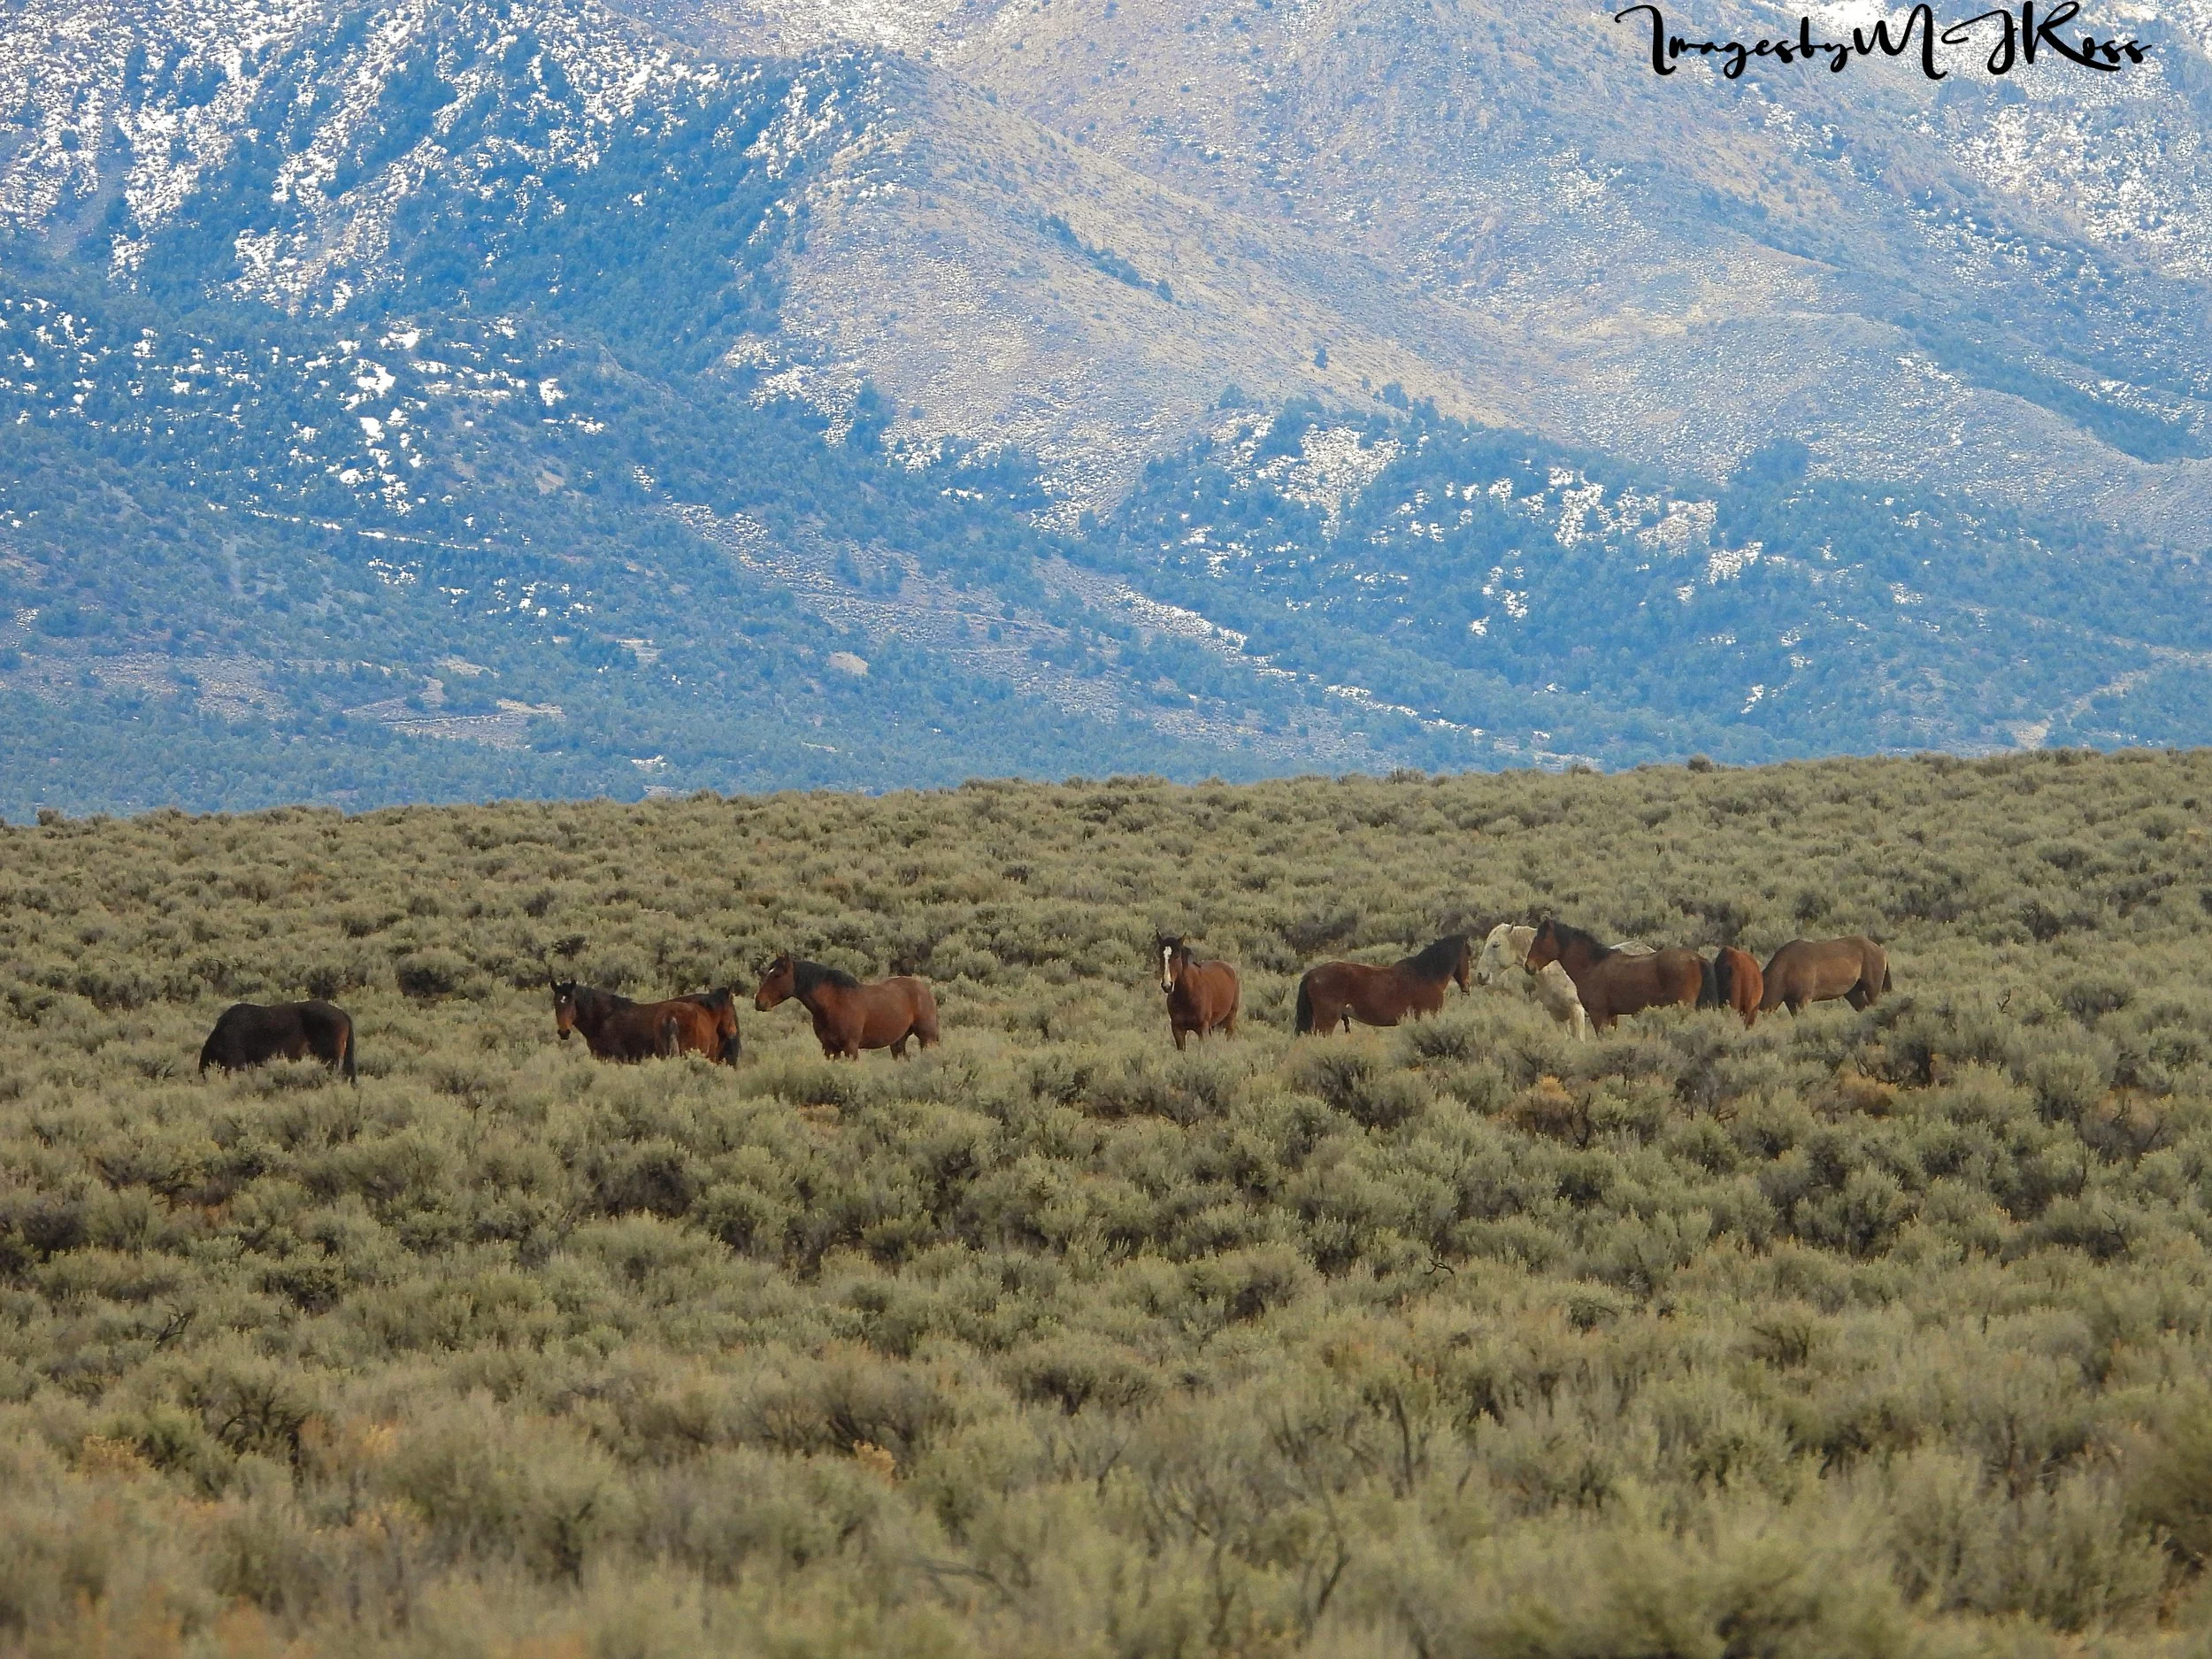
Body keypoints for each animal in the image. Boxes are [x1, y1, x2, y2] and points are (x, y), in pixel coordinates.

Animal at [754, 954, 939, 1059]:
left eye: (777, 975)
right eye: (766, 972)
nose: (759, 1002)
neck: (832, 1003)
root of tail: (923, 988)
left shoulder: (851, 1048)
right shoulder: (829, 1048)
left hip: (927, 1038)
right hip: (898, 1041)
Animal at [1156, 934, 1240, 1050]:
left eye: (1177, 956)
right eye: (1161, 956)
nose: (1167, 985)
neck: (1187, 995)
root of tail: (1229, 968)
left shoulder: (1202, 1029)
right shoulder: (1178, 1029)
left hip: (1229, 1019)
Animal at [1523, 919, 1710, 1033]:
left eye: (1540, 939)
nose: (1528, 966)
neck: (1592, 965)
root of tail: (1696, 958)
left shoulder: (1598, 1014)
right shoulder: (1611, 1014)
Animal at [1760, 936, 1890, 1016]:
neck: (1786, 968)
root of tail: (1881, 950)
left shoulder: (1803, 1000)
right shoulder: (1790, 1002)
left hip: (1872, 990)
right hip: (1853, 993)